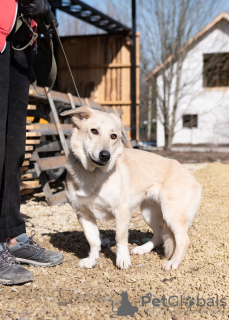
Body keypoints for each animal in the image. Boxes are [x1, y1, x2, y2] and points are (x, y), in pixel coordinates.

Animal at [60, 107, 200, 270]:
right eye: (94, 131)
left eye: (113, 136)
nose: (105, 155)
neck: (93, 174)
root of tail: (192, 177)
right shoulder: (84, 215)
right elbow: (93, 241)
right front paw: (92, 260)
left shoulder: (121, 211)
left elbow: (120, 238)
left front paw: (122, 259)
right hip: (149, 213)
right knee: (159, 234)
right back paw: (143, 249)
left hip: (172, 214)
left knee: (183, 240)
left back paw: (173, 262)